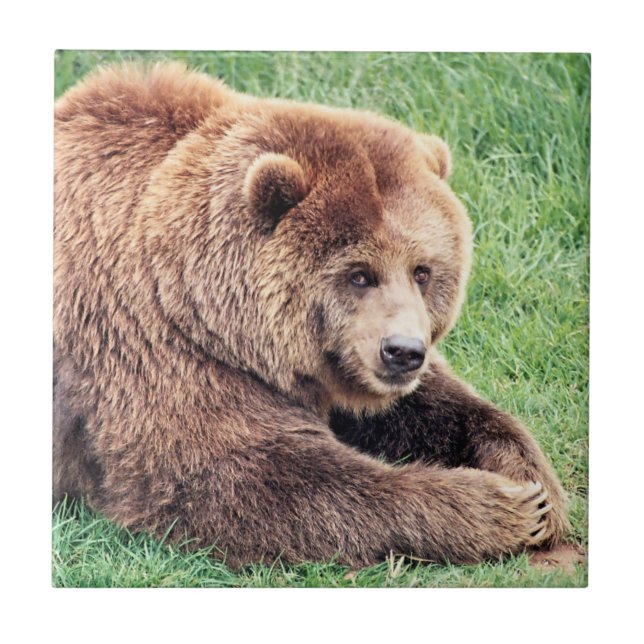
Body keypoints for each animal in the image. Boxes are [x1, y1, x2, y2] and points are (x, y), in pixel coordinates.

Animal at [54, 62, 568, 568]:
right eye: (360, 274)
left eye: (422, 271)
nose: (402, 351)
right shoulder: (151, 346)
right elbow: (243, 476)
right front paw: (500, 505)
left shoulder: (337, 364)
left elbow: (434, 406)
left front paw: (533, 483)